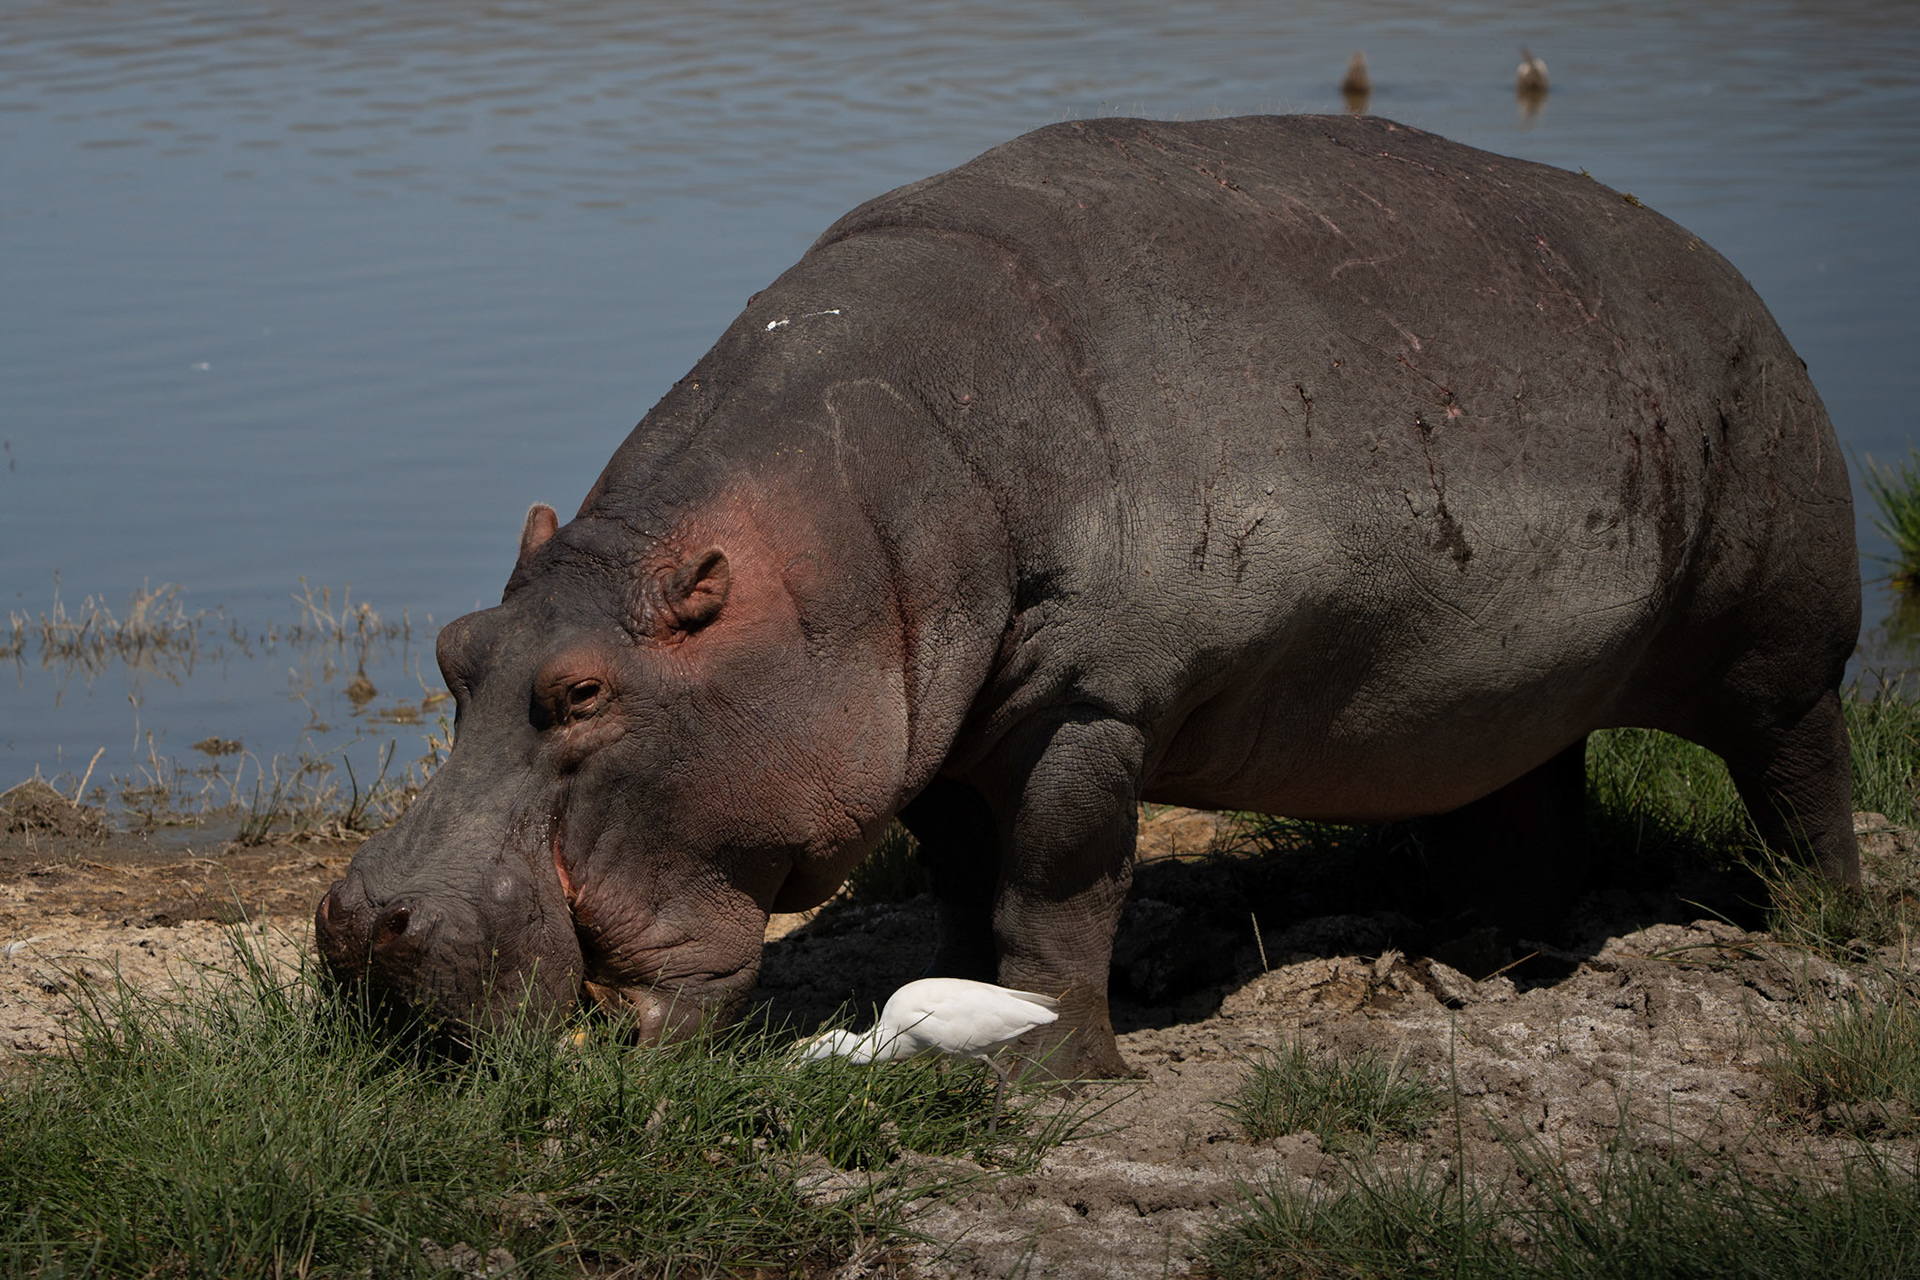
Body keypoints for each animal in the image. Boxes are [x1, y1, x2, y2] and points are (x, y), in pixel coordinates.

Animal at [316, 115, 1859, 1078]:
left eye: (581, 691)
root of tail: (1731, 278)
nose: (361, 923)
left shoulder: (1092, 703)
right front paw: (959, 998)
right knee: (1527, 804)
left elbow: (1059, 883)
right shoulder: (934, 717)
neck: (857, 523)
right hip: (1510, 686)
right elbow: (960, 873)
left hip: (1781, 632)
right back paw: (1499, 961)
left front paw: (1049, 1058)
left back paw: (1821, 933)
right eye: (455, 649)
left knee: (1800, 774)